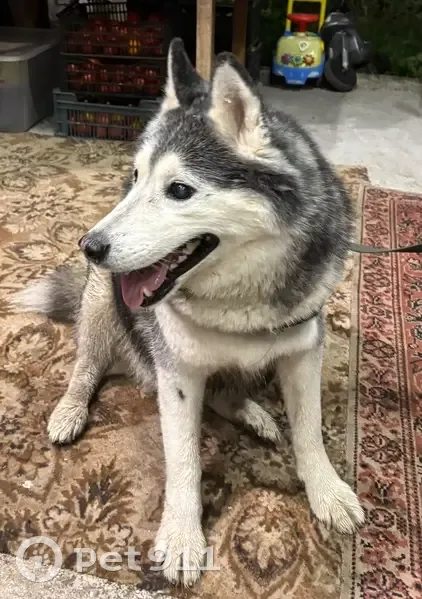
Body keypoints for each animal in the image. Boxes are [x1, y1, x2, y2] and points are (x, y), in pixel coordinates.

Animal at [14, 39, 364, 586]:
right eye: (135, 177)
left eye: (180, 190)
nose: (89, 246)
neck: (238, 301)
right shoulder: (177, 374)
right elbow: (184, 463)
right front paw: (181, 537)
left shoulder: (304, 352)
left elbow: (308, 431)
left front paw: (326, 491)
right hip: (101, 307)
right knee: (86, 366)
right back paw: (71, 409)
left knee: (227, 391)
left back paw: (252, 413)